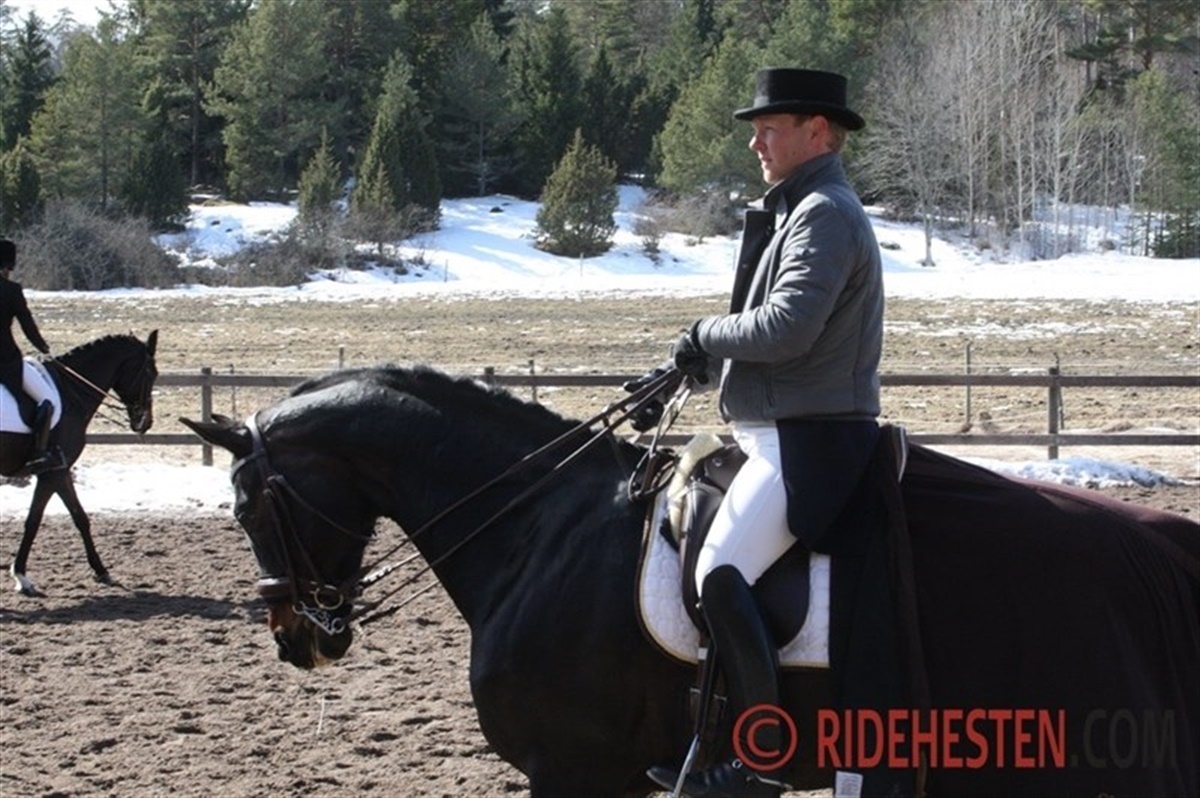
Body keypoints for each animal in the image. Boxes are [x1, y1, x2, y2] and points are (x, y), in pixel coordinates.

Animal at [1, 331, 159, 595]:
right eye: (151, 373)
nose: (144, 423)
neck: (70, 392)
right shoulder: (54, 472)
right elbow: (40, 520)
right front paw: (22, 577)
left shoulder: (58, 472)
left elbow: (75, 517)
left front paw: (100, 570)